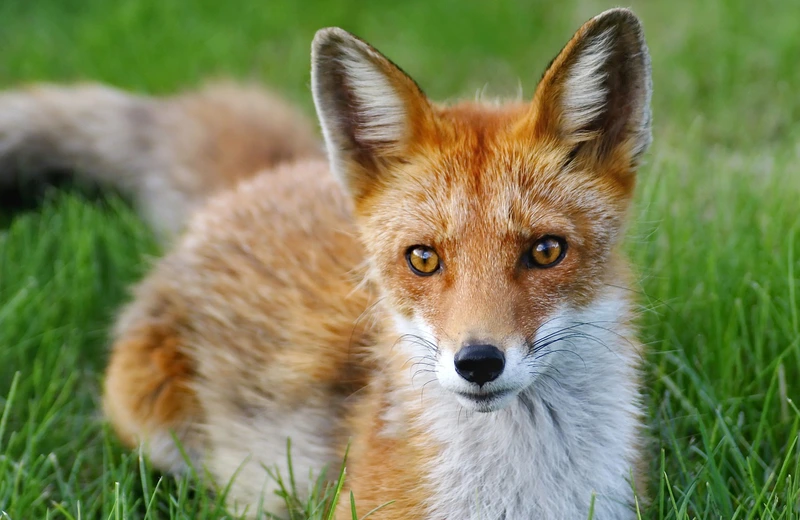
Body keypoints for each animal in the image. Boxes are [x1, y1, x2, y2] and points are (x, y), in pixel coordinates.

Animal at [0, 8, 648, 520]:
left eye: (546, 251)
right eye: (423, 258)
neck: (518, 495)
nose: (478, 363)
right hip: (149, 418)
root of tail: (263, 178)